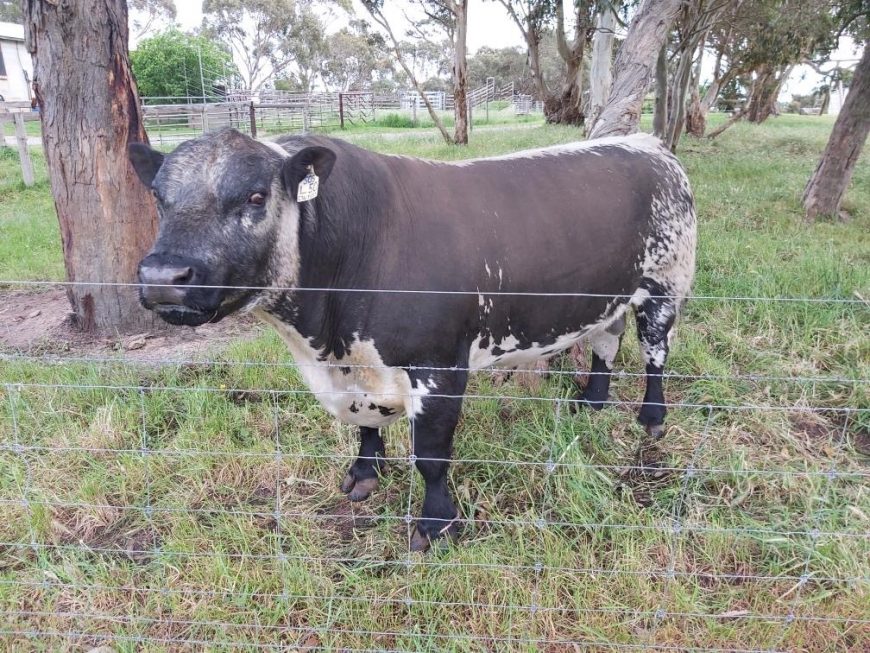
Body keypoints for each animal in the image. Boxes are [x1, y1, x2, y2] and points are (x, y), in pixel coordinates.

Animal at [128, 128, 697, 551]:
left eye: (255, 196)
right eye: (158, 198)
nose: (162, 276)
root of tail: (648, 143)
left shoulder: (440, 368)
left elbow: (431, 456)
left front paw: (437, 525)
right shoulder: (356, 368)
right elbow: (365, 424)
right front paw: (363, 474)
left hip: (665, 285)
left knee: (655, 352)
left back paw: (651, 418)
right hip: (610, 296)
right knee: (606, 342)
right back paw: (593, 400)